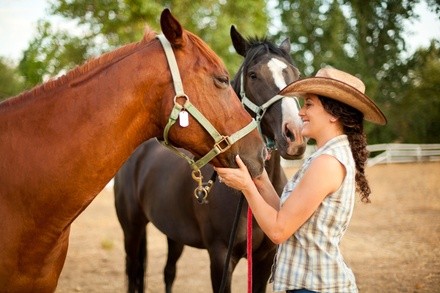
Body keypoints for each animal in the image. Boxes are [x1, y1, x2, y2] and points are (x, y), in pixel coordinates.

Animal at [113, 26, 306, 290]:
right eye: (253, 75)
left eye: (296, 75)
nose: (294, 135)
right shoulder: (221, 257)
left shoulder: (264, 260)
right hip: (132, 230)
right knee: (134, 273)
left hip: (173, 233)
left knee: (168, 272)